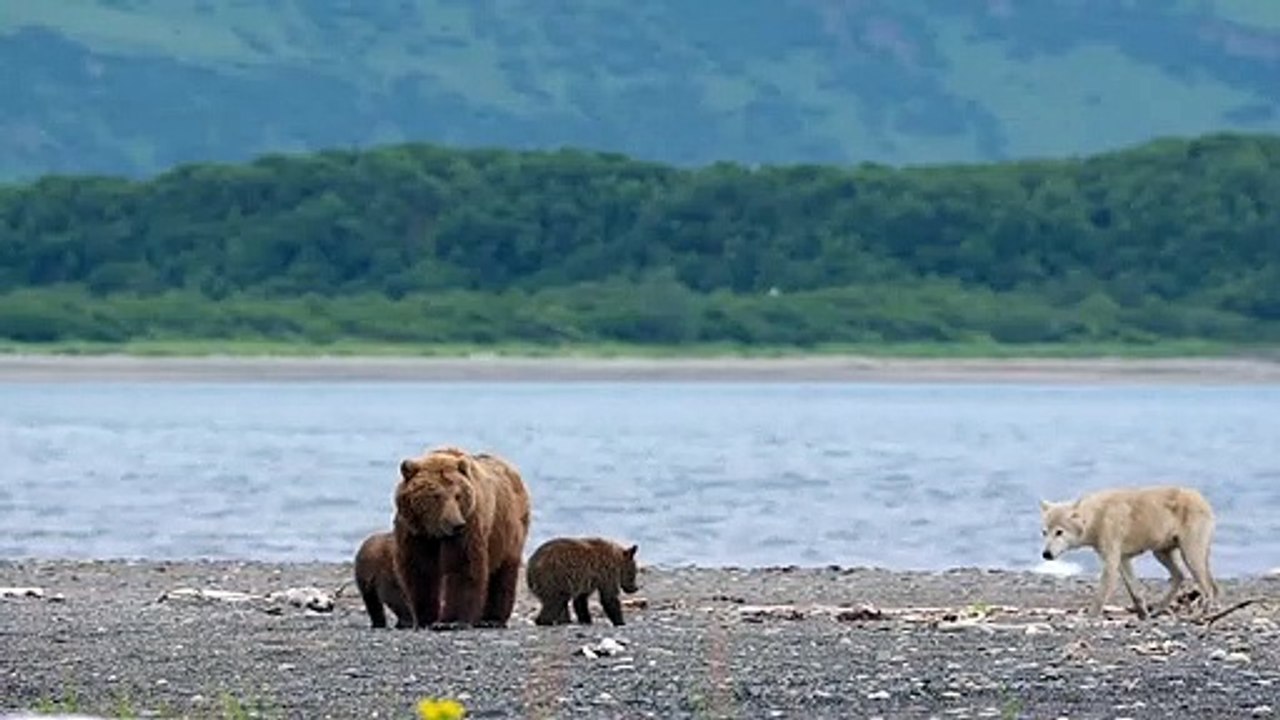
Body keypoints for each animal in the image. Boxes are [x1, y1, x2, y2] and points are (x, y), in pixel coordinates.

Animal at [392, 445, 532, 630]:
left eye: (458, 495)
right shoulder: (415, 533)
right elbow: (420, 570)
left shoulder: (469, 523)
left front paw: (451, 621)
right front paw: (425, 618)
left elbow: (462, 565)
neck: (434, 532)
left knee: (503, 571)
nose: (456, 524)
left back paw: (491, 619)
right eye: (436, 496)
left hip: (506, 529)